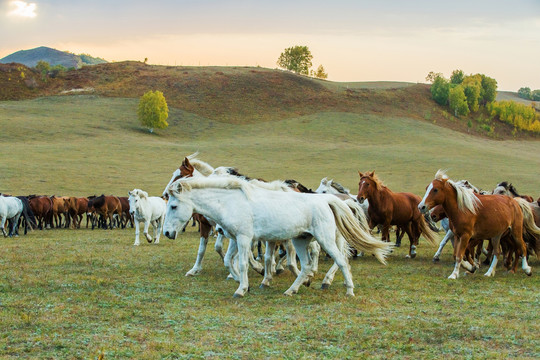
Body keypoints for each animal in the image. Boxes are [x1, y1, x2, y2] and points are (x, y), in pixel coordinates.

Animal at [162, 176, 390, 298]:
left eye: (173, 206)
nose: (166, 233)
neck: (231, 202)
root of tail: (328, 200)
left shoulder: (244, 239)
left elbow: (243, 263)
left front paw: (241, 289)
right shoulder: (236, 239)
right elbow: (229, 260)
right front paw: (246, 281)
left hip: (325, 239)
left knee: (341, 260)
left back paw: (347, 290)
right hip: (301, 240)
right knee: (306, 265)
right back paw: (292, 289)